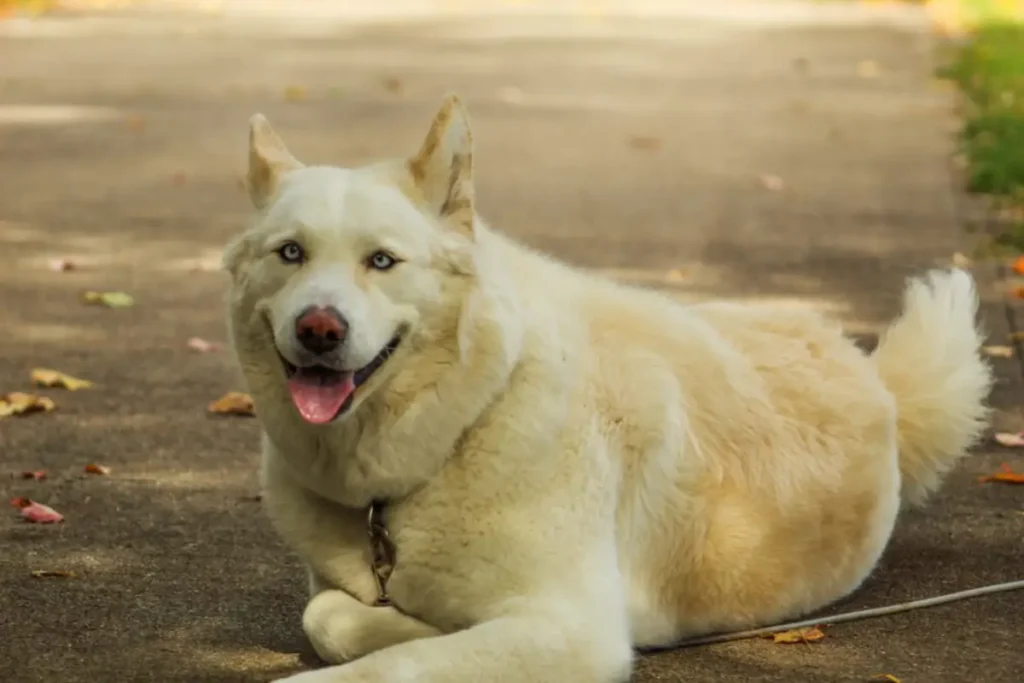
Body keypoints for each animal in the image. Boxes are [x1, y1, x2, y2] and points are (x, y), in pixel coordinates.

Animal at [222, 93, 991, 679]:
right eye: (290, 253)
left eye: (381, 261)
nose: (319, 328)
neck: (467, 417)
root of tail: (875, 377)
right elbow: (327, 614)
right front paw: (418, 623)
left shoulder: (575, 633)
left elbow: (387, 663)